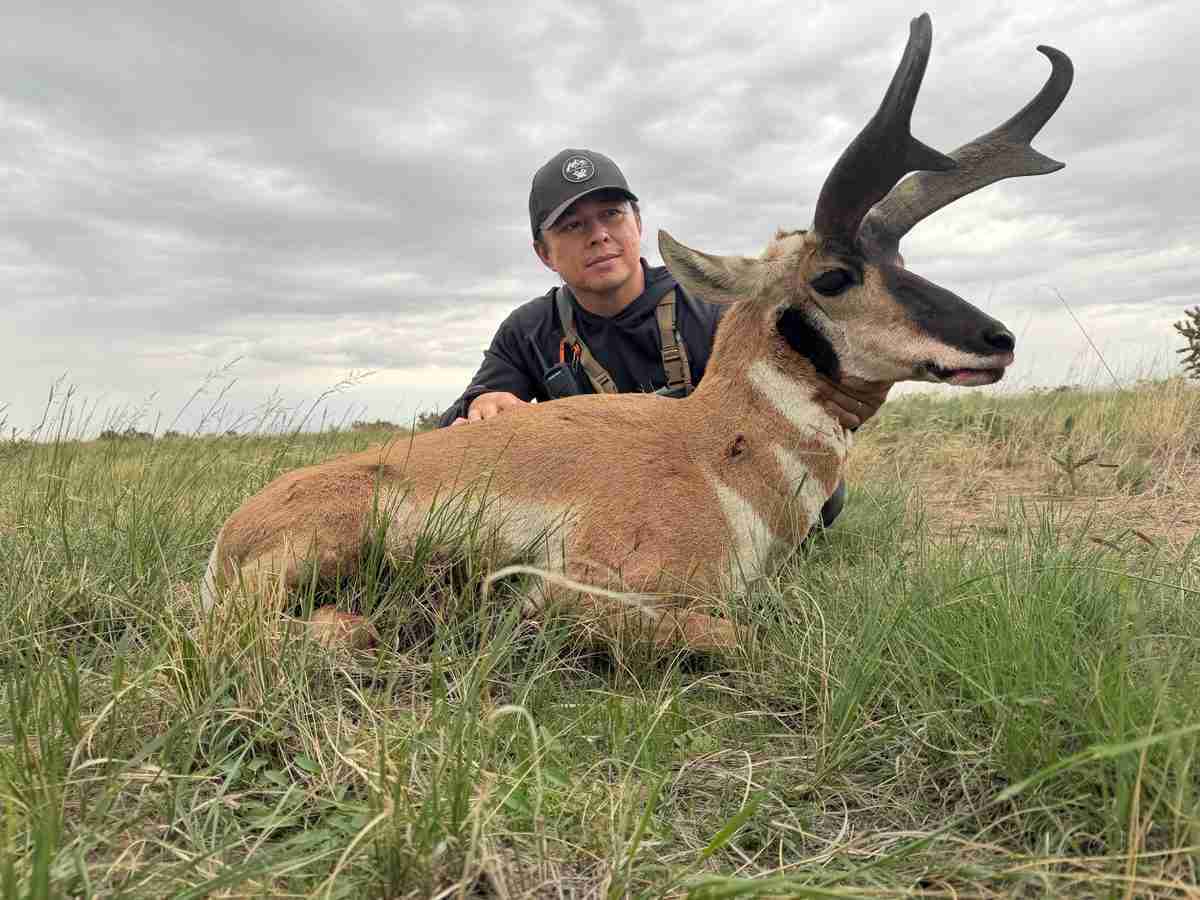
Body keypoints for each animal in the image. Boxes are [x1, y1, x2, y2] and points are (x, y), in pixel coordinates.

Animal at [201, 14, 1073, 652]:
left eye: (901, 257)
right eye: (833, 275)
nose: (998, 340)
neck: (712, 447)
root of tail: (236, 526)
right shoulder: (588, 594)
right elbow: (737, 636)